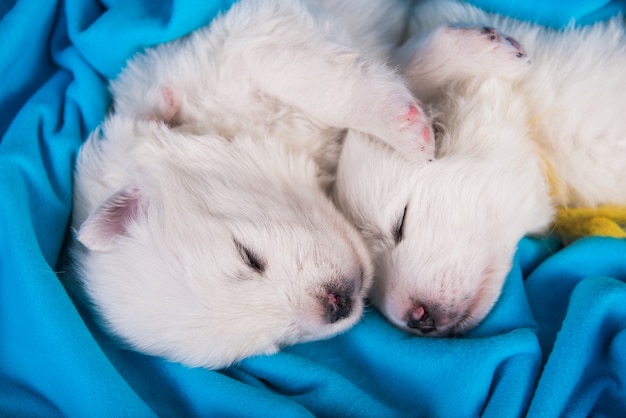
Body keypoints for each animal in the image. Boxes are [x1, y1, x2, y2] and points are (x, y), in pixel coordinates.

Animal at [66, 0, 432, 370]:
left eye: (247, 256)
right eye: (270, 343)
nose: (336, 304)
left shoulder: (253, 42)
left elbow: (313, 81)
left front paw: (404, 129)